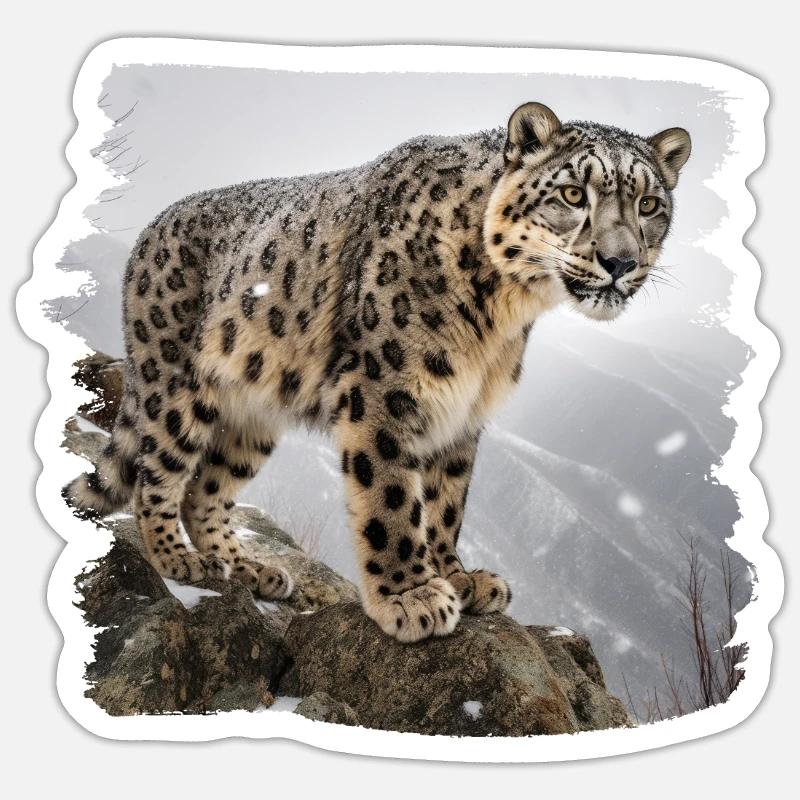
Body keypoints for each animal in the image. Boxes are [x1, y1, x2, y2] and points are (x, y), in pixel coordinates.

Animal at [64, 102, 691, 642]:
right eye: (572, 193)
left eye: (649, 205)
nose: (620, 262)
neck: (501, 317)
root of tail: (150, 229)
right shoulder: (384, 388)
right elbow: (392, 494)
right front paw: (413, 597)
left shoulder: (462, 411)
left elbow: (447, 502)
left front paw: (458, 577)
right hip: (177, 383)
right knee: (158, 474)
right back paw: (179, 559)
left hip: (254, 418)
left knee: (207, 491)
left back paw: (246, 568)